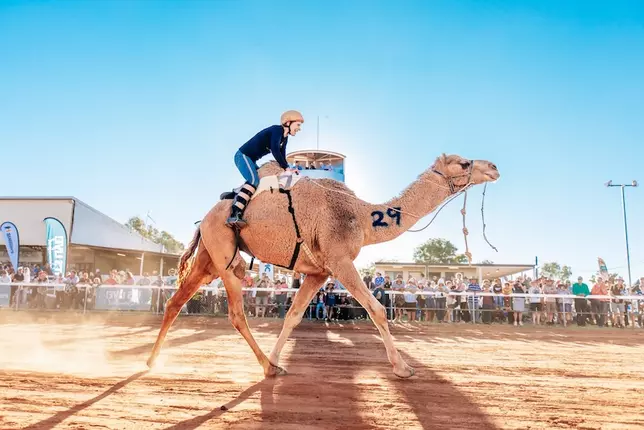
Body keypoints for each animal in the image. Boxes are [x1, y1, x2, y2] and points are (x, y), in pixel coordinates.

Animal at [147, 154, 500, 378]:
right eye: (463, 162)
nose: (494, 167)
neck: (362, 216)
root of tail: (206, 216)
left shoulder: (319, 272)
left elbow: (292, 316)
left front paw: (277, 357)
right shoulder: (339, 260)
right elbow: (377, 309)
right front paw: (402, 369)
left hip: (208, 259)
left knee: (175, 302)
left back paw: (151, 362)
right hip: (225, 257)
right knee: (235, 313)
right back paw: (266, 368)